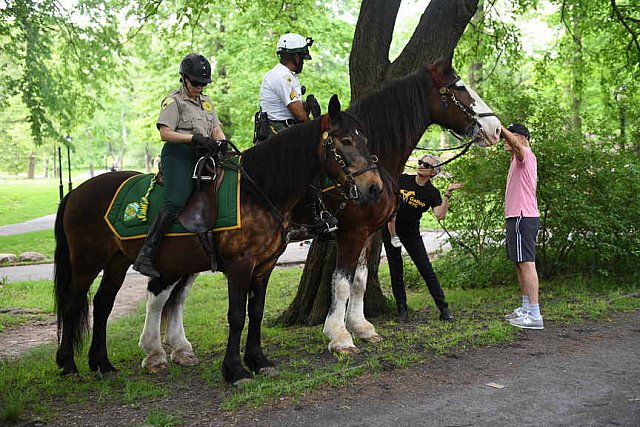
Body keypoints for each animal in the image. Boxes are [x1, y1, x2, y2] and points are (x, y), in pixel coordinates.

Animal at [53, 95, 380, 382]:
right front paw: (235, 370)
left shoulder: (264, 267)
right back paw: (69, 364)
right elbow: (236, 316)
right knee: (73, 304)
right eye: (345, 141)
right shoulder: (239, 267)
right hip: (87, 261)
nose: (374, 187)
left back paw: (102, 363)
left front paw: (258, 361)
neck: (256, 191)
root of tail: (75, 192)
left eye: (365, 140)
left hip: (117, 262)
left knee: (103, 304)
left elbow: (256, 313)